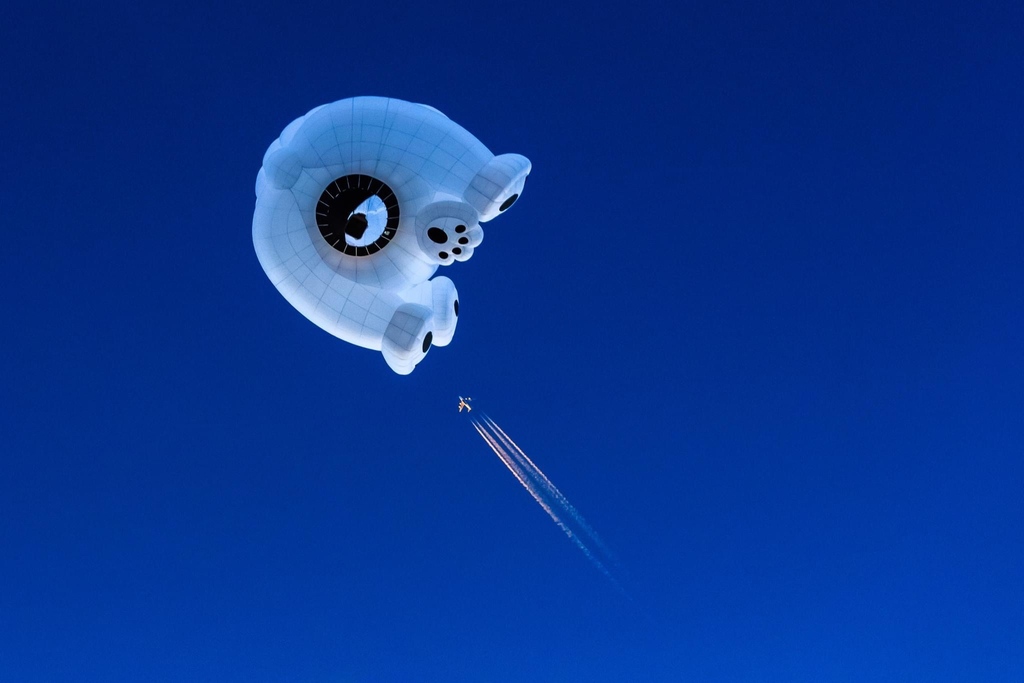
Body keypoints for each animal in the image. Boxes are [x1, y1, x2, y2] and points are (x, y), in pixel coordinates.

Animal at [252, 96, 530, 374]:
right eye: (352, 228)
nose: (452, 242)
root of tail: (281, 164)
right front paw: (418, 337)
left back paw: (503, 187)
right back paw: (427, 324)